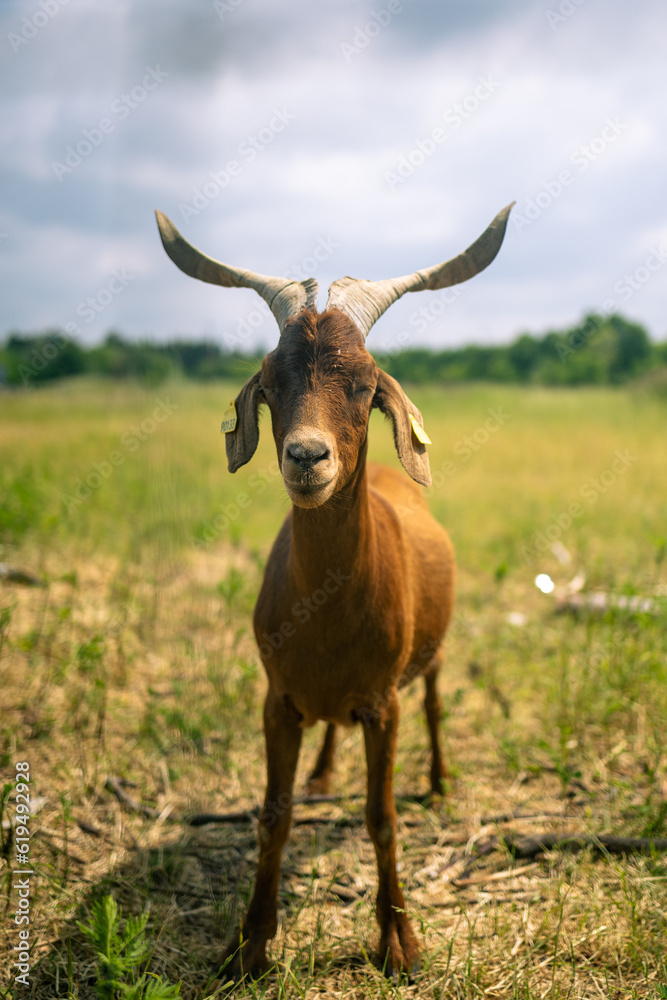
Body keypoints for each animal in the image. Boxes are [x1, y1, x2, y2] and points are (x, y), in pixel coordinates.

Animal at [155, 203, 513, 977]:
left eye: (363, 384)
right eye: (271, 382)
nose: (307, 457)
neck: (323, 614)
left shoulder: (382, 703)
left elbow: (381, 817)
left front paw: (399, 941)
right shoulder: (278, 699)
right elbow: (273, 814)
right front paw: (251, 941)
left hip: (430, 659)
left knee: (434, 703)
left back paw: (439, 782)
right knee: (328, 737)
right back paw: (322, 775)